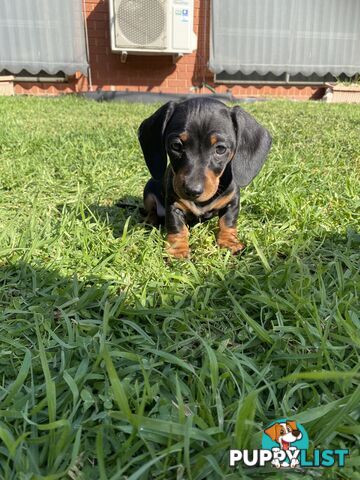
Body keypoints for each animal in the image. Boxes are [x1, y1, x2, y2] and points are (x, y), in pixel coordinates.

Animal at [138, 97, 270, 258]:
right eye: (176, 145)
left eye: (220, 149)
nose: (192, 190)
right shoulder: (173, 206)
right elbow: (177, 227)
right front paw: (178, 250)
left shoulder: (232, 201)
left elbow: (228, 222)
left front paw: (230, 242)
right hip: (148, 191)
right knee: (151, 210)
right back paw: (149, 222)